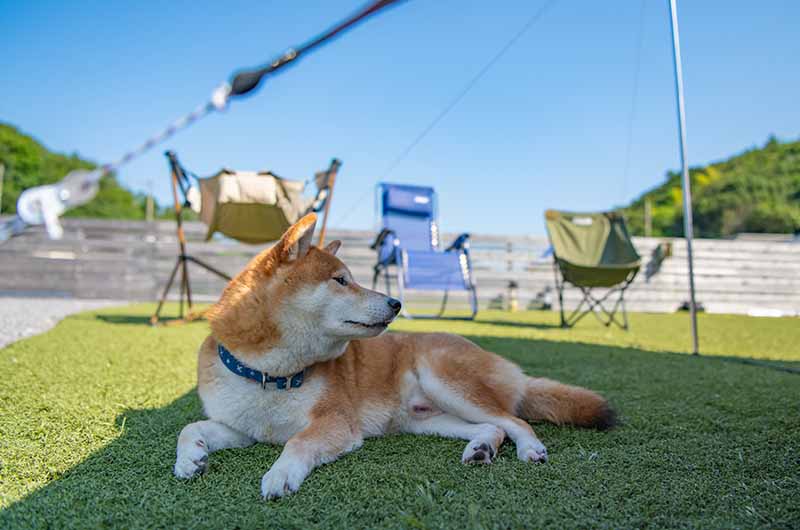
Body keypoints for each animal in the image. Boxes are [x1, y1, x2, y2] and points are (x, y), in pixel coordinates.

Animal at [173, 212, 612, 498]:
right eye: (341, 280)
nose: (396, 302)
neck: (270, 374)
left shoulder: (336, 423)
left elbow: (295, 443)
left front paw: (280, 475)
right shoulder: (241, 427)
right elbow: (190, 428)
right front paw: (190, 460)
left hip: (445, 380)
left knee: (514, 420)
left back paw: (530, 449)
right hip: (427, 419)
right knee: (493, 427)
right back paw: (481, 449)